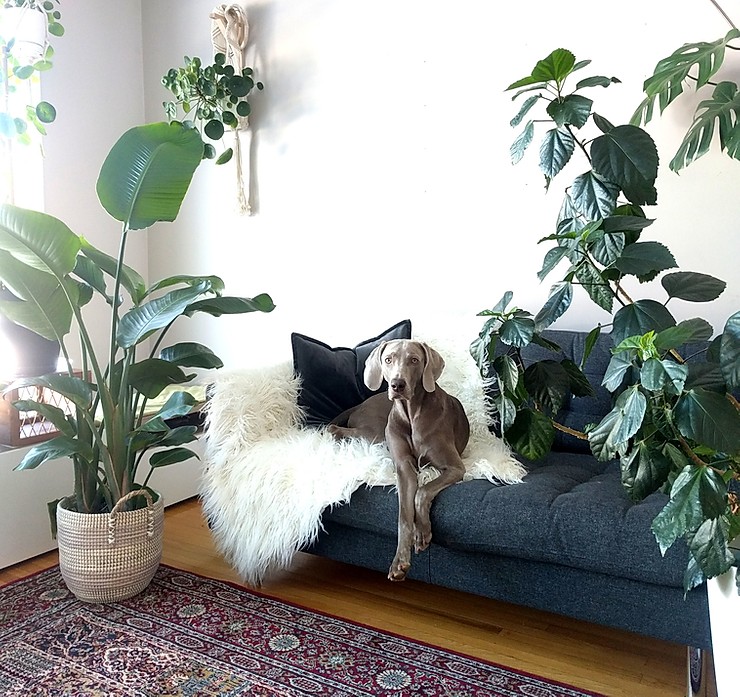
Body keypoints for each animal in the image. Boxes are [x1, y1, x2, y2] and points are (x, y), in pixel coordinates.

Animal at [330, 340, 468, 580]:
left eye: (414, 360)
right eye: (388, 359)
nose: (397, 384)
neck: (412, 414)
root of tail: (360, 404)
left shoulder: (455, 467)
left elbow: (422, 492)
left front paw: (422, 532)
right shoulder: (404, 467)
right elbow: (404, 513)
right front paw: (400, 562)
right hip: (377, 432)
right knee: (336, 428)